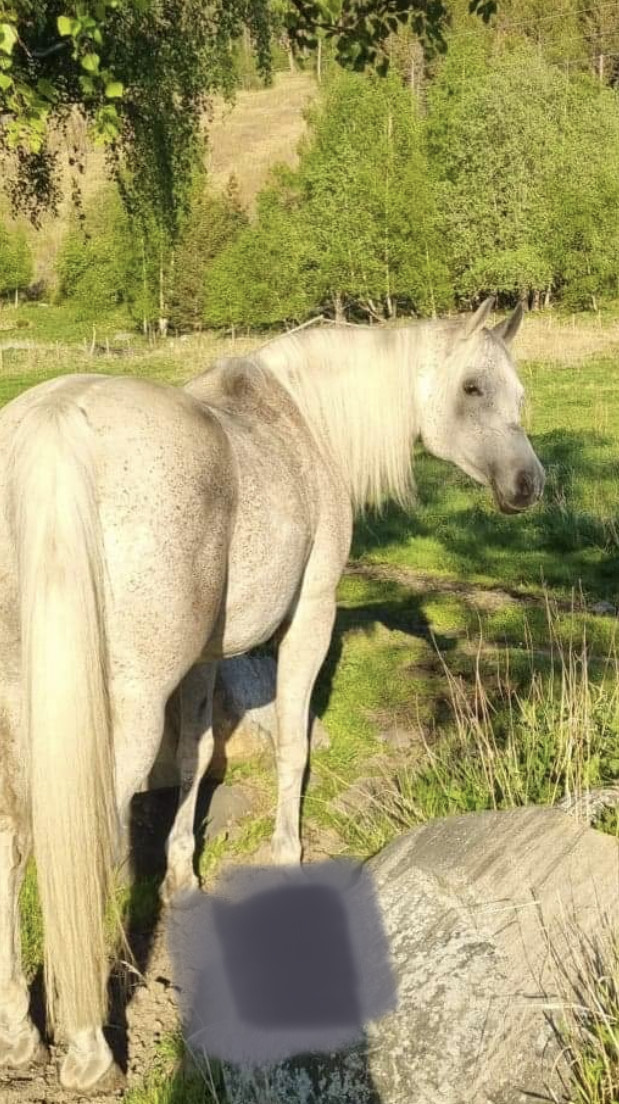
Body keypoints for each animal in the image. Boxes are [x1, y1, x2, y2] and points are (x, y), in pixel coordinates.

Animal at [0, 297, 544, 1093]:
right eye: (473, 387)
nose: (528, 486)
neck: (302, 424)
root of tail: (51, 425)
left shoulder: (202, 658)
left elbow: (194, 759)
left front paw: (182, 876)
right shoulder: (309, 616)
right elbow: (291, 739)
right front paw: (287, 854)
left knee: (11, 839)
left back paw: (17, 1034)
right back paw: (87, 1049)